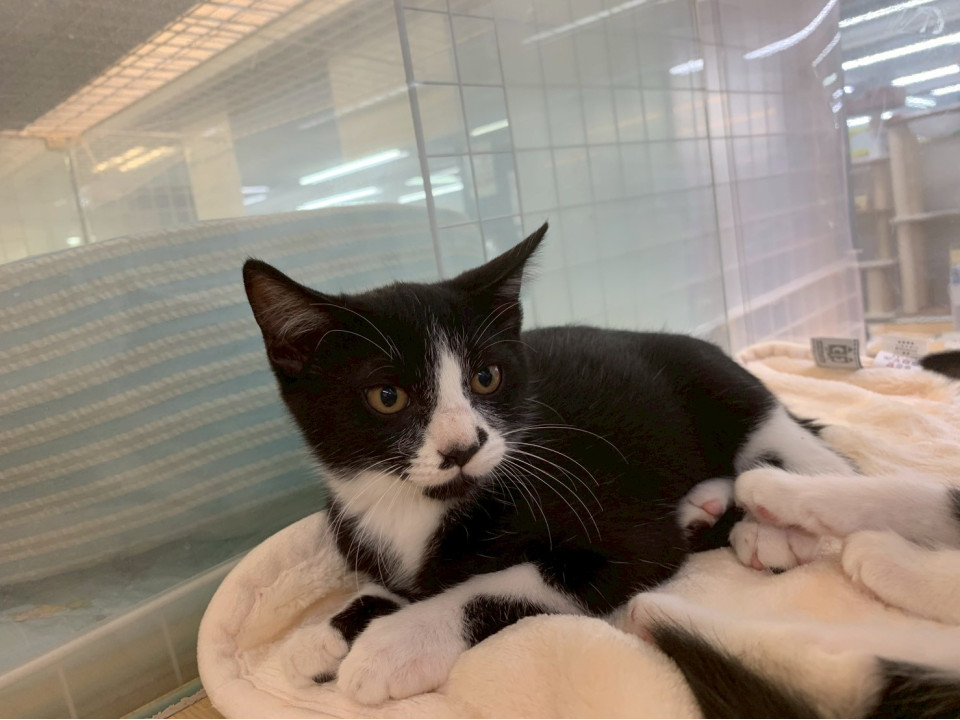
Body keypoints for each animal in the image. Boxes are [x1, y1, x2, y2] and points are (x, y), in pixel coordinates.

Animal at [242, 223, 890, 707]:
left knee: (811, 456)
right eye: (387, 397)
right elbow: (398, 582)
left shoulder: (610, 519)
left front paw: (396, 644)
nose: (463, 447)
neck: (416, 506)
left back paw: (773, 526)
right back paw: (705, 509)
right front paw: (326, 633)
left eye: (486, 377)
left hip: (731, 394)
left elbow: (503, 583)